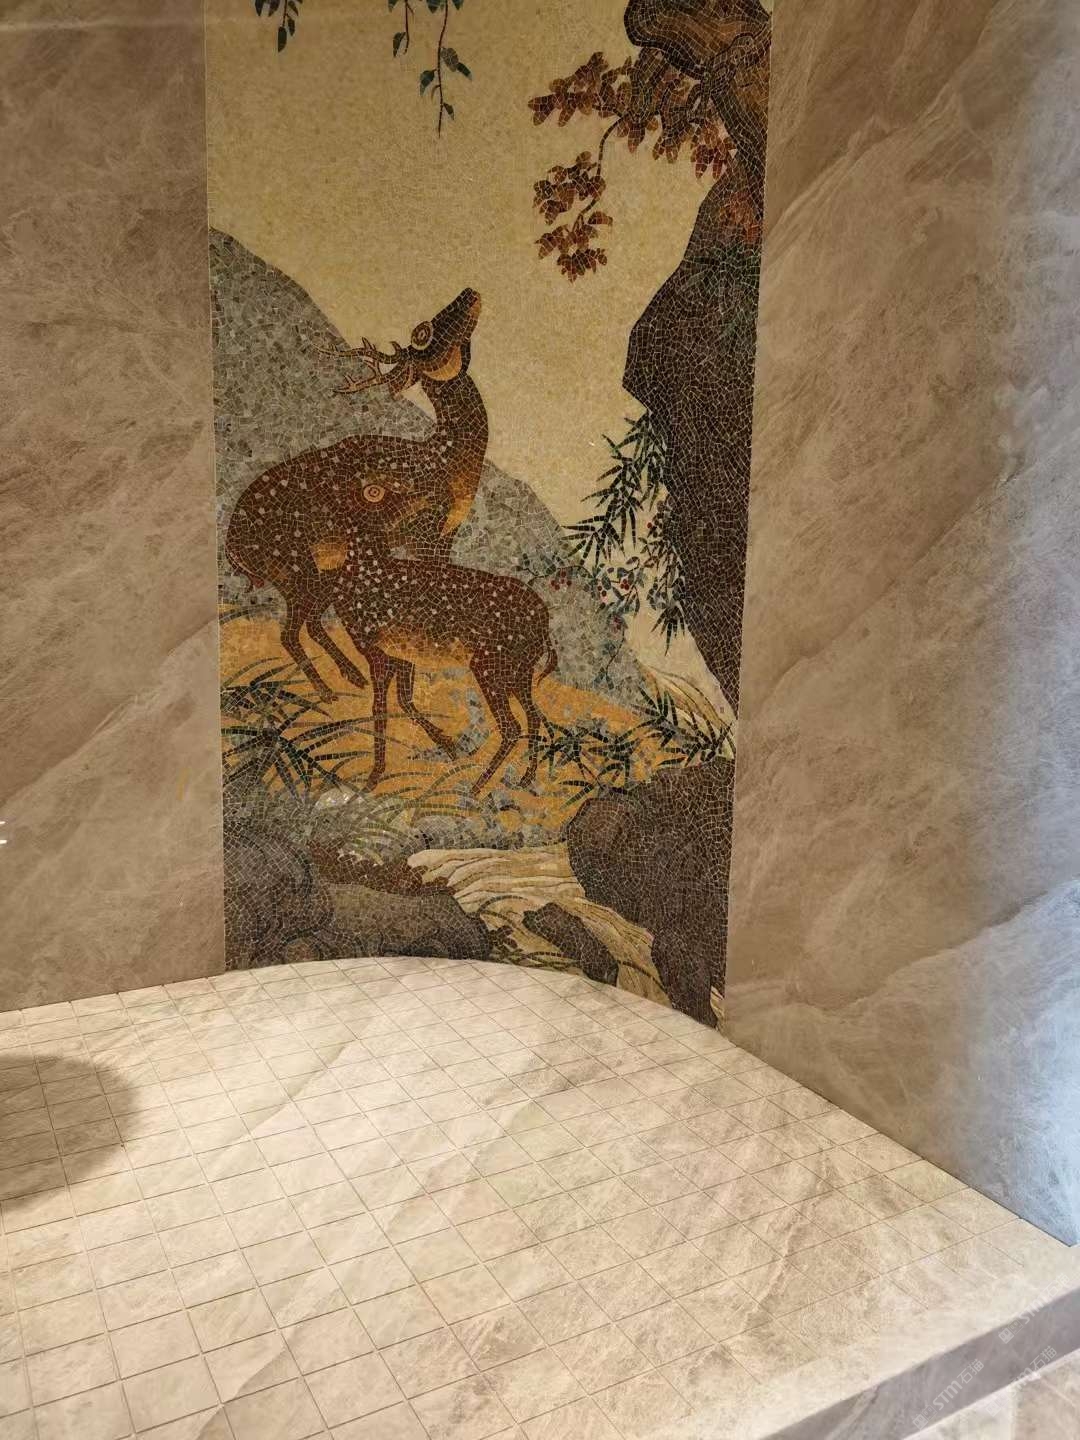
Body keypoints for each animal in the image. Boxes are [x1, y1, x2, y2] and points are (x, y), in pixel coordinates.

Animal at [224, 287, 488, 701]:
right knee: (290, 632)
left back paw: (352, 676)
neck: (447, 461)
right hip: (293, 568)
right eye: (423, 332)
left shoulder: (447, 537)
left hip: (323, 569)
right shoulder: (423, 533)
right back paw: (325, 692)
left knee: (311, 623)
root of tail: (232, 547)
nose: (470, 292)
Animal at [316, 479, 558, 794]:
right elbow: (404, 701)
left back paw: (476, 789)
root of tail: (544, 624)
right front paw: (448, 745)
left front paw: (372, 778)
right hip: (518, 671)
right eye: (374, 492)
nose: (428, 496)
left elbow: (381, 708)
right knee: (534, 715)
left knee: (512, 726)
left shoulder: (377, 654)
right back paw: (525, 778)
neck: (367, 576)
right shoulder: (400, 656)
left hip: (490, 666)